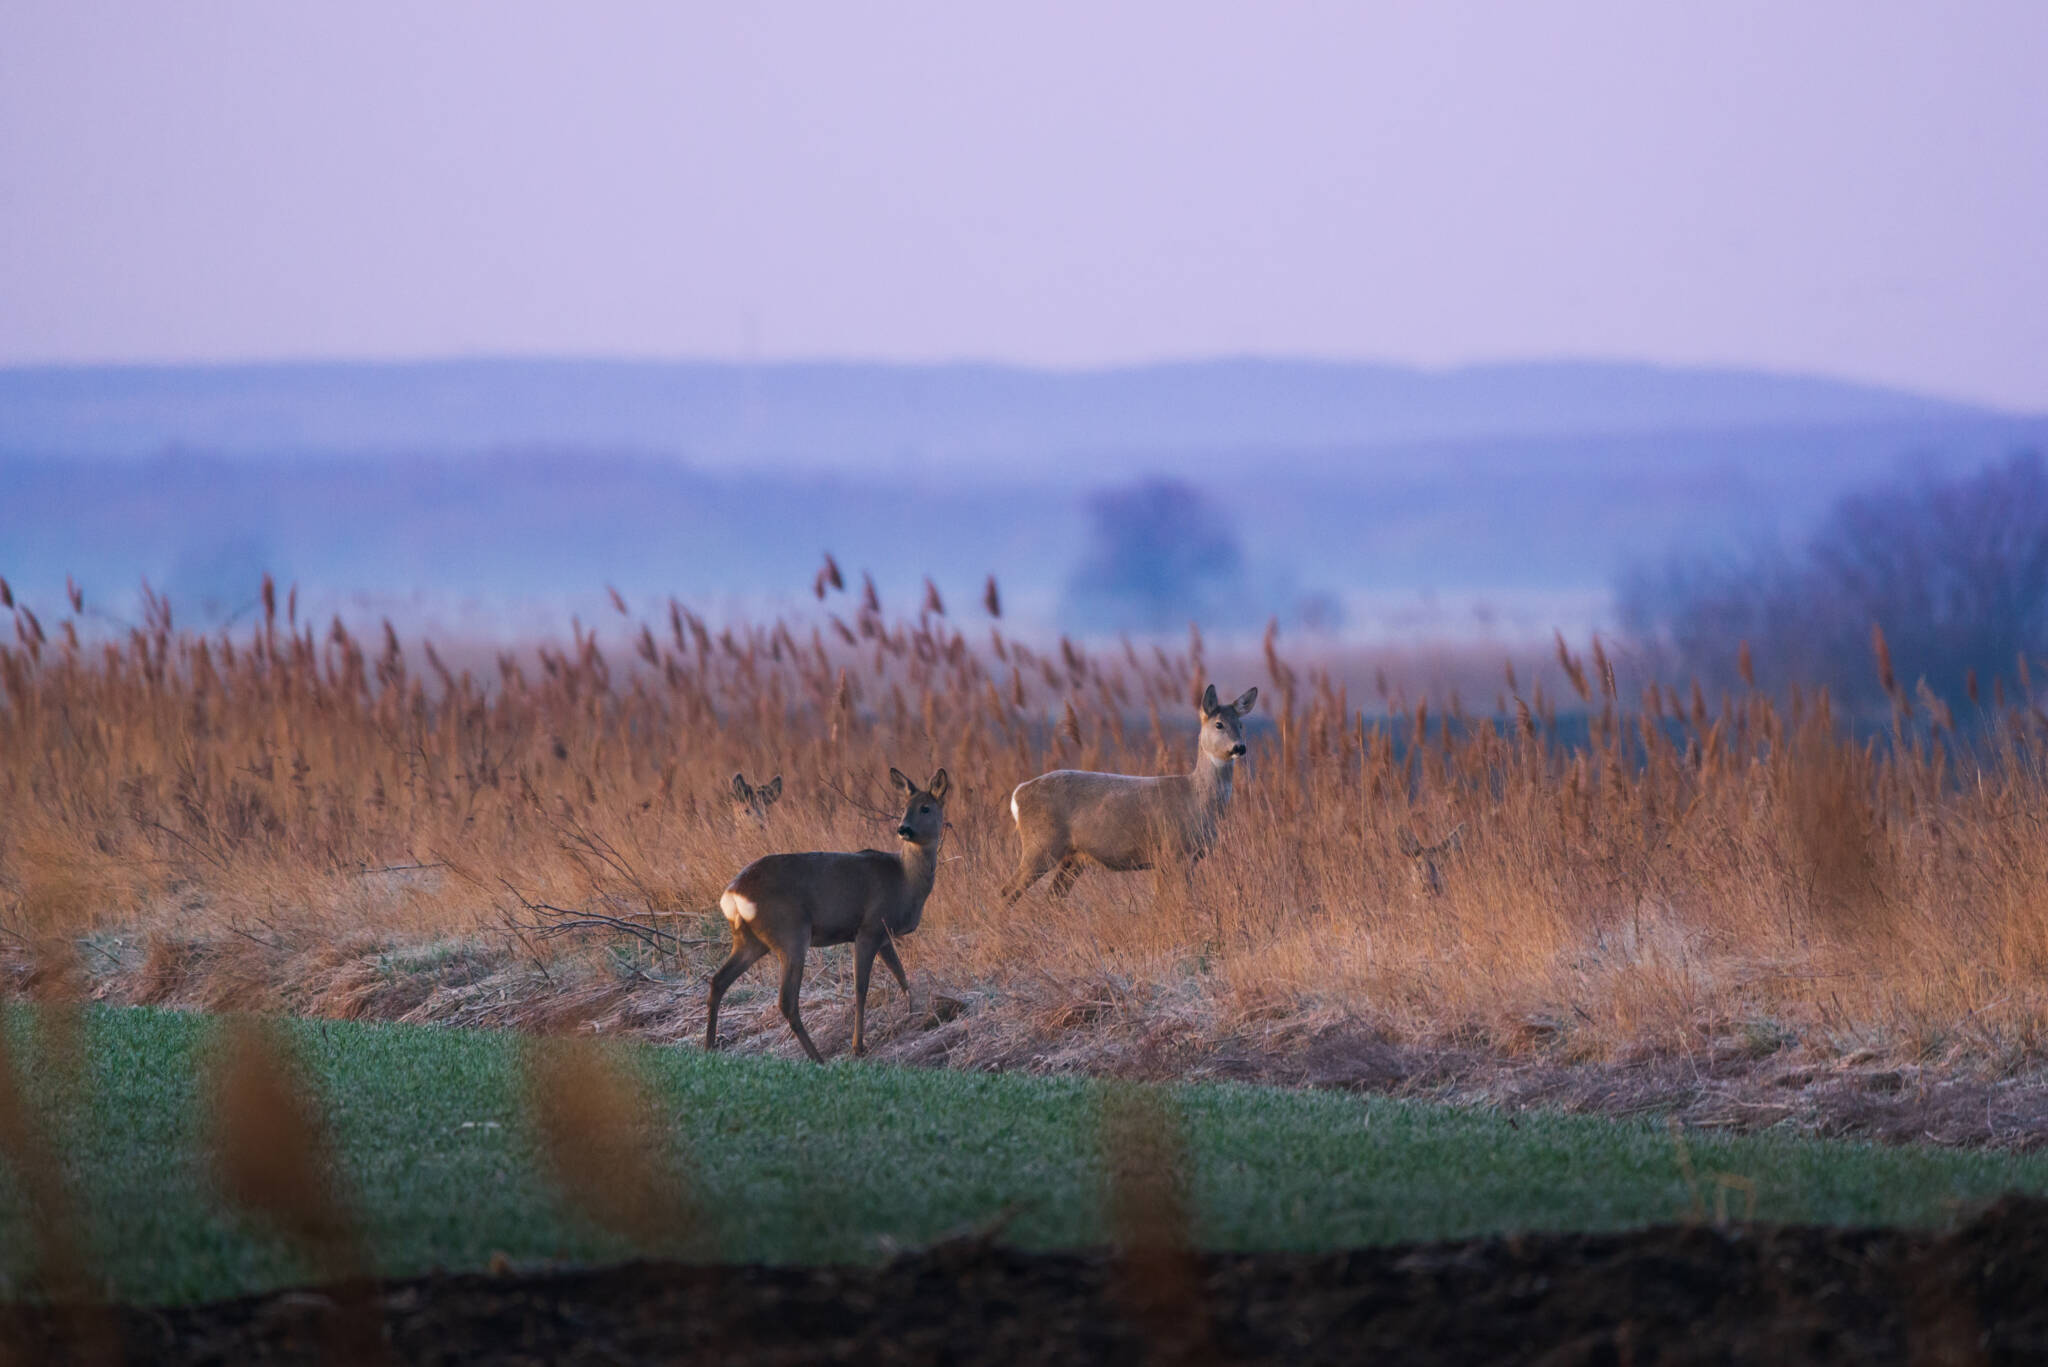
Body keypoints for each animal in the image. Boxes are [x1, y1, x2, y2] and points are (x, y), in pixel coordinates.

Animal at [706, 767, 949, 1063]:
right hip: (791, 933)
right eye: (905, 807)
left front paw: (917, 1013)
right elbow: (861, 988)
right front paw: (858, 1047)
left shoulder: (883, 935)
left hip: (749, 939)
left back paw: (708, 1046)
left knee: (718, 981)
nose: (904, 829)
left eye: (925, 807)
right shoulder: (868, 928)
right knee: (786, 1001)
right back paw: (818, 1058)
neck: (904, 880)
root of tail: (732, 894)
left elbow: (901, 975)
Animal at [1001, 683, 1257, 902]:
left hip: (1072, 857)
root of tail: (1018, 794)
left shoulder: (1187, 858)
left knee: (1051, 898)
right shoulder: (1171, 850)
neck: (1197, 798)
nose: (1240, 747)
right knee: (1007, 891)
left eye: (1241, 725)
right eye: (1219, 724)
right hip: (1041, 844)